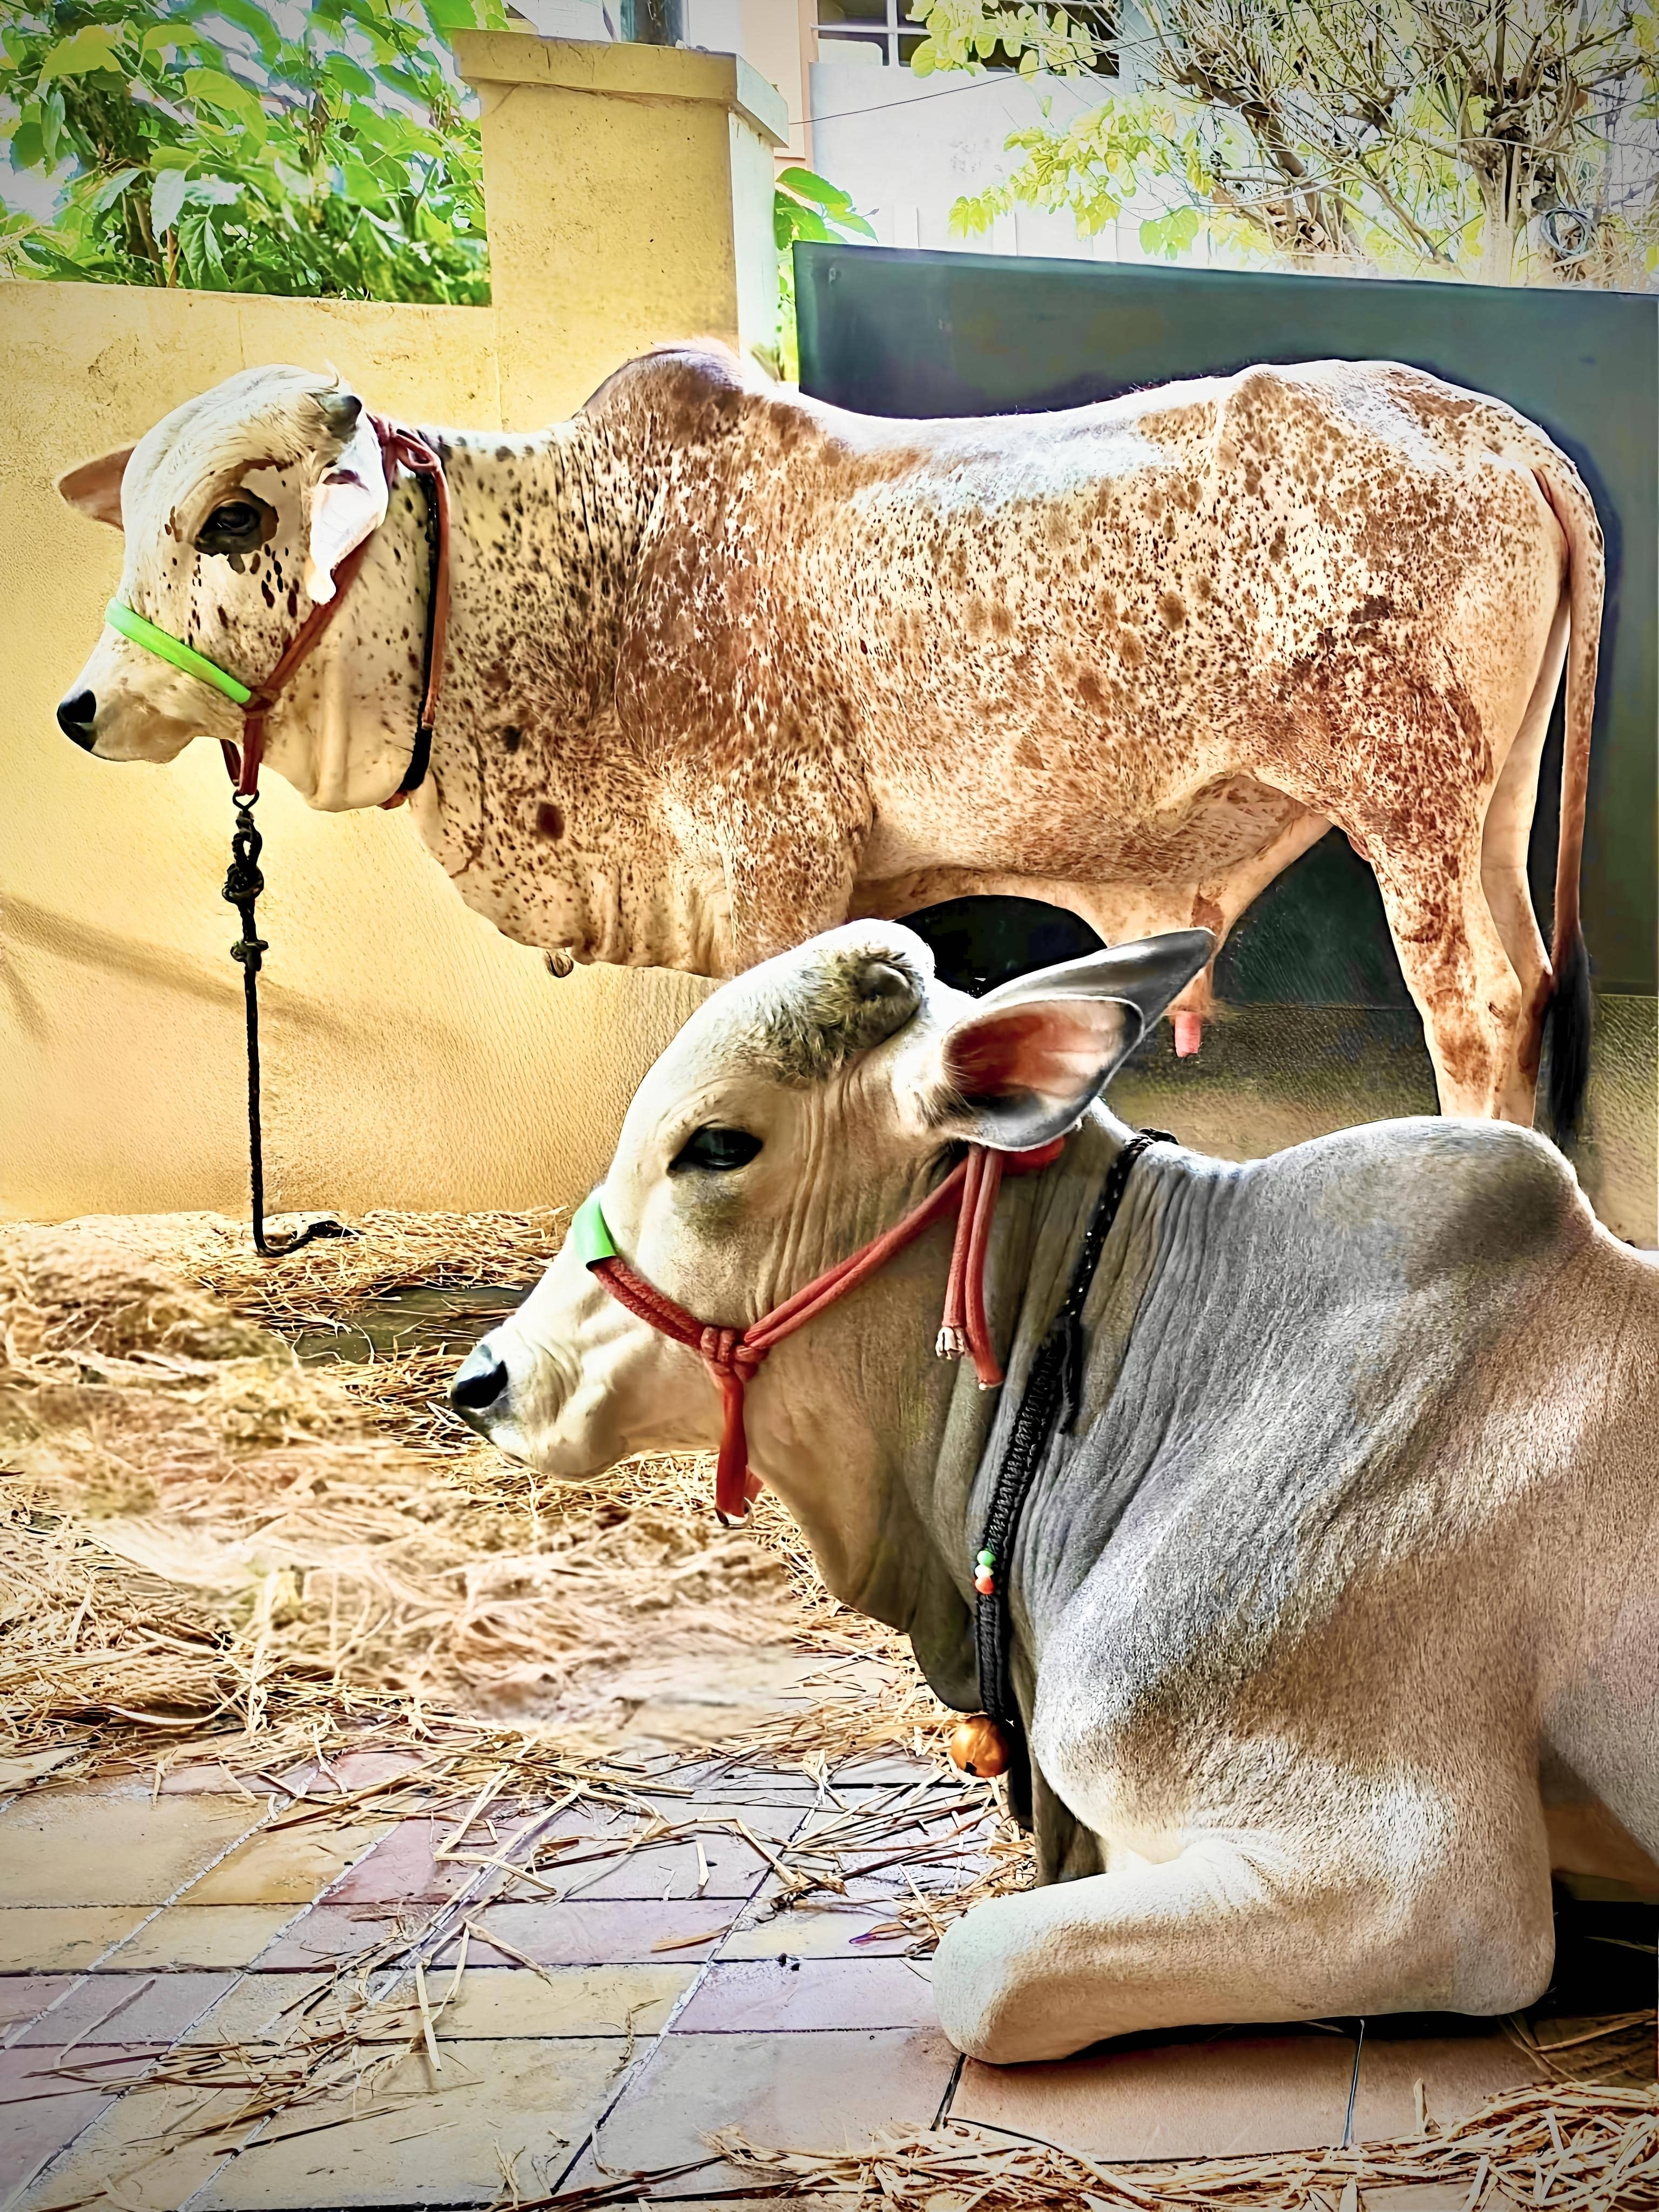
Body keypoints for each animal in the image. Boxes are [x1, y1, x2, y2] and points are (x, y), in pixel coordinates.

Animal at [55, 344, 1602, 1136]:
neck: (597, 578)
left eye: (235, 516)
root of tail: (1493, 427)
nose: (82, 708)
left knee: (1466, 1009)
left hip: (1404, 803)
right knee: (1529, 987)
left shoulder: (769, 861)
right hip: (1492, 810)